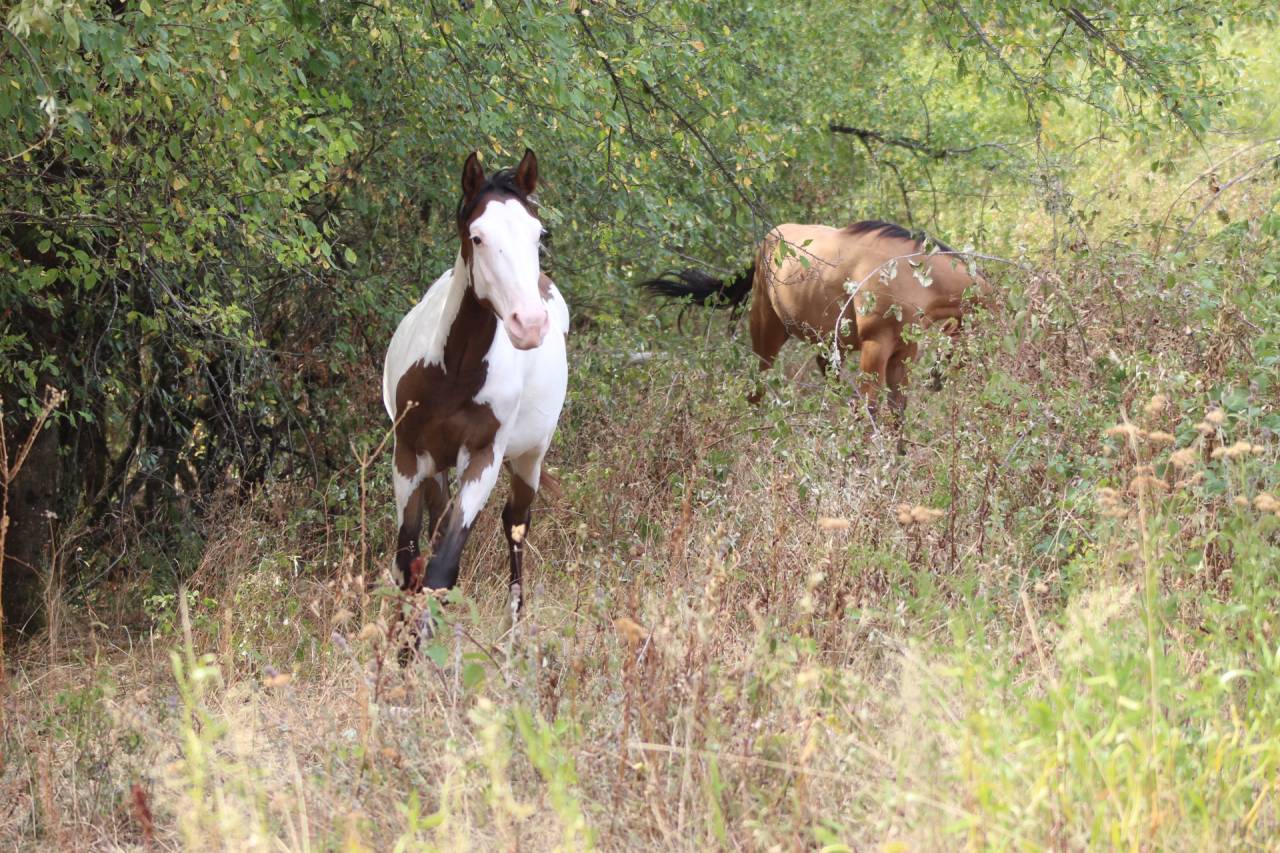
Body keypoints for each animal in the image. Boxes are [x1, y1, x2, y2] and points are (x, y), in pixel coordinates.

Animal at [382, 148, 568, 630]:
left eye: (539, 234)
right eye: (478, 237)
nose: (529, 323)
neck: (454, 374)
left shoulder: (483, 458)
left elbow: (442, 570)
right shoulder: (408, 456)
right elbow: (408, 565)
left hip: (529, 457)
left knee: (516, 523)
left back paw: (513, 628)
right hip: (436, 467)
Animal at [641, 220, 992, 420]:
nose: (937, 379)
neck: (911, 273)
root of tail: (768, 240)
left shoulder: (903, 353)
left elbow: (897, 411)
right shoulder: (875, 349)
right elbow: (871, 410)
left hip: (828, 343)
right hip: (766, 332)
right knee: (757, 387)